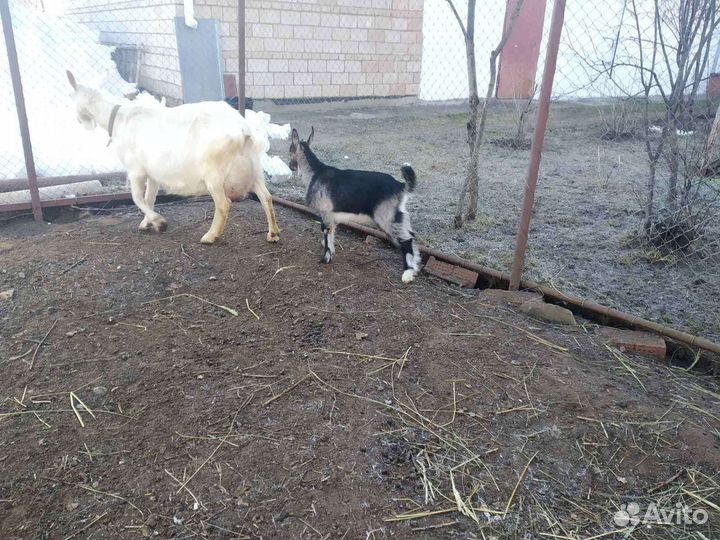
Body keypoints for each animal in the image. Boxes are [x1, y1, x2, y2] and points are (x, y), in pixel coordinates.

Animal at [66, 71, 280, 245]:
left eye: (71, 96)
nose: (79, 121)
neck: (119, 118)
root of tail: (242, 129)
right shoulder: (153, 173)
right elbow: (149, 197)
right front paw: (147, 223)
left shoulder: (136, 170)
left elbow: (137, 197)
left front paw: (160, 223)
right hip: (254, 168)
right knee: (266, 197)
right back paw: (273, 234)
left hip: (214, 172)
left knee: (223, 204)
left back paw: (210, 236)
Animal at [288, 127, 420, 283]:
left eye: (290, 150)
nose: (291, 166)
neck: (315, 173)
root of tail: (401, 186)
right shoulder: (332, 216)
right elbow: (332, 233)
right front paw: (332, 254)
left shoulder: (325, 213)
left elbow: (326, 234)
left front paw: (325, 259)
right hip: (398, 215)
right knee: (410, 236)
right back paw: (414, 269)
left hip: (386, 217)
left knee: (405, 240)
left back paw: (407, 274)